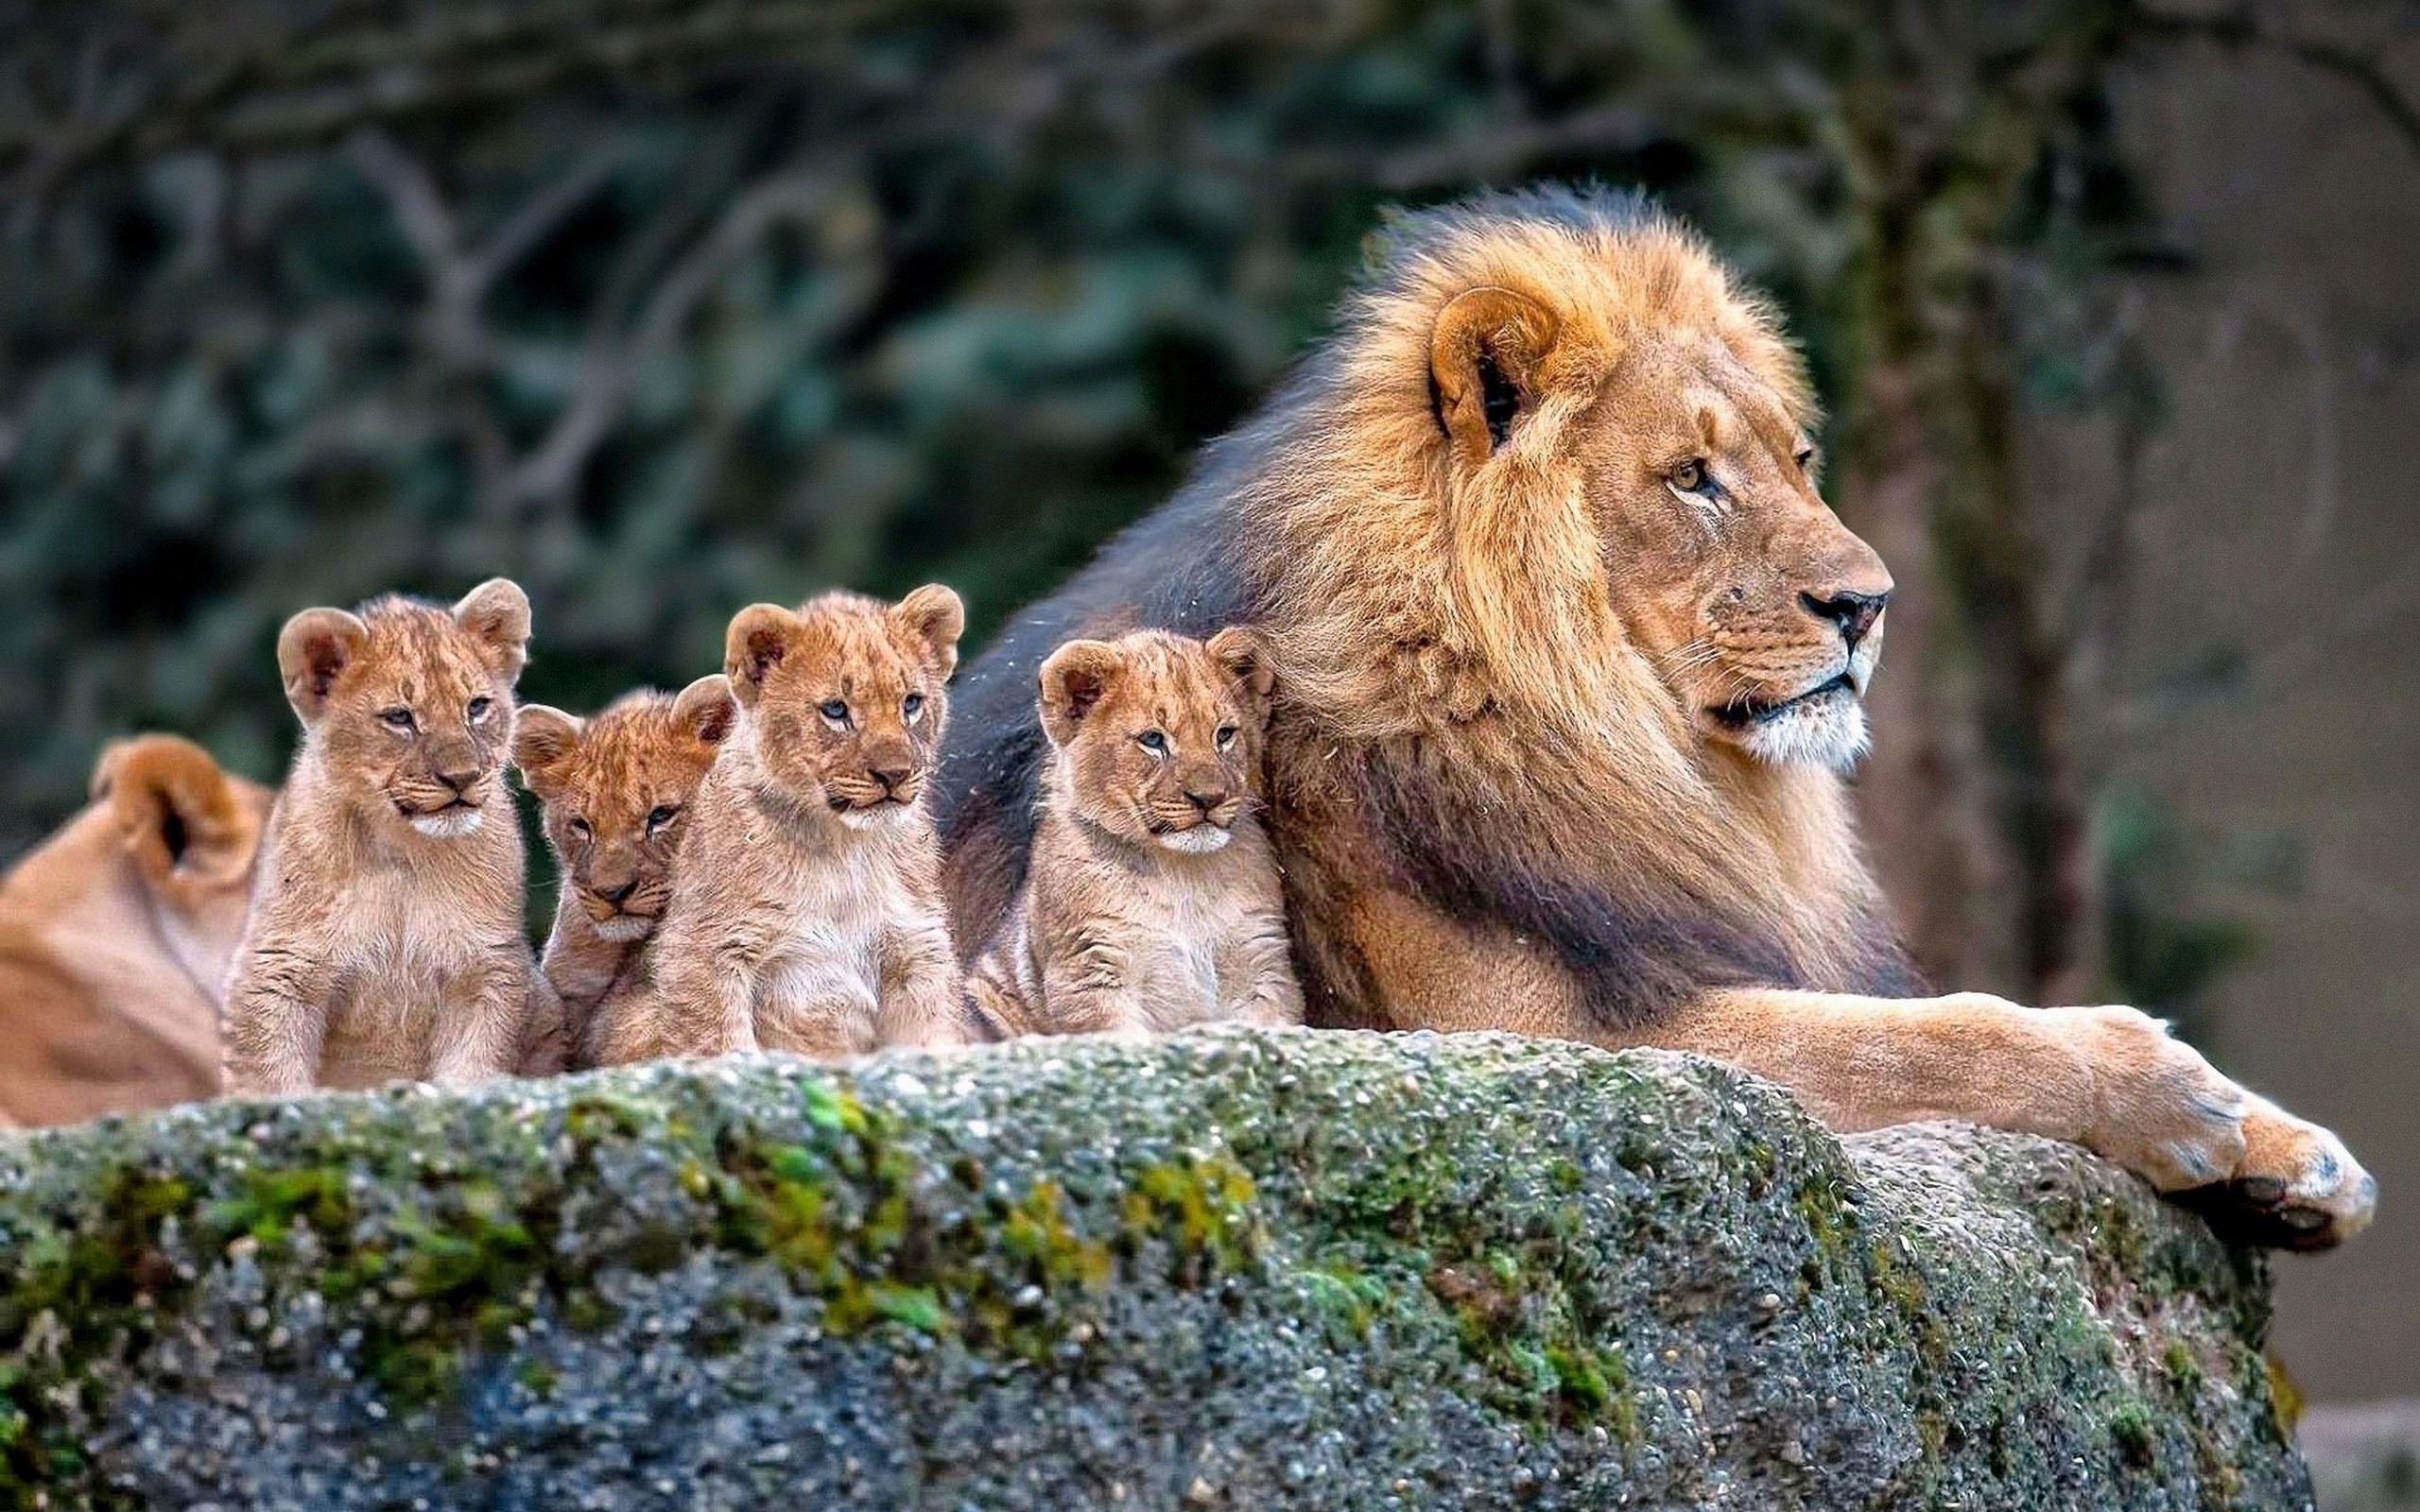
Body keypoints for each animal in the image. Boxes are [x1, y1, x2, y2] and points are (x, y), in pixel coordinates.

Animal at [222, 579, 541, 1095]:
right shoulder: (279, 966)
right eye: (399, 717)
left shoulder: (488, 966)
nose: (462, 778)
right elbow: (270, 1075)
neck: (402, 851)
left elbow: (473, 1063)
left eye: (476, 707)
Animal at [594, 586, 970, 1064]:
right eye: (836, 710)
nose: (895, 775)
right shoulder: (704, 951)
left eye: (911, 703)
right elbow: (721, 1043)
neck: (843, 850)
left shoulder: (916, 949)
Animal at [968, 627, 1302, 1037]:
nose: (1209, 798)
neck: (1183, 875)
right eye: (1153, 740)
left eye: (1224, 734)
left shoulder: (1261, 963)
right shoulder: (1090, 971)